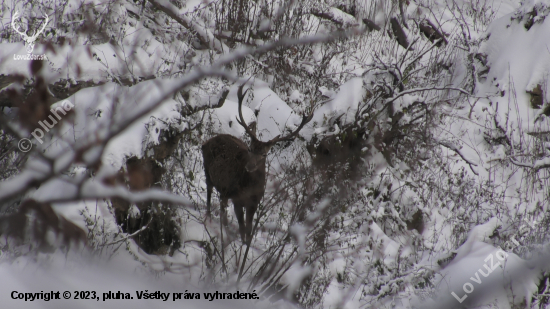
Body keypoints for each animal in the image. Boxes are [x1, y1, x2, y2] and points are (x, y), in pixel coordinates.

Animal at [203, 83, 314, 243]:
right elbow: (242, 228)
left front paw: (246, 244)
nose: (249, 166)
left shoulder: (254, 203)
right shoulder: (237, 199)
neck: (250, 188)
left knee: (223, 205)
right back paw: (209, 220)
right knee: (209, 194)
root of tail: (206, 142)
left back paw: (224, 227)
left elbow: (249, 230)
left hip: (224, 190)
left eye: (264, 154)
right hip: (207, 171)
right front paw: (242, 245)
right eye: (250, 148)